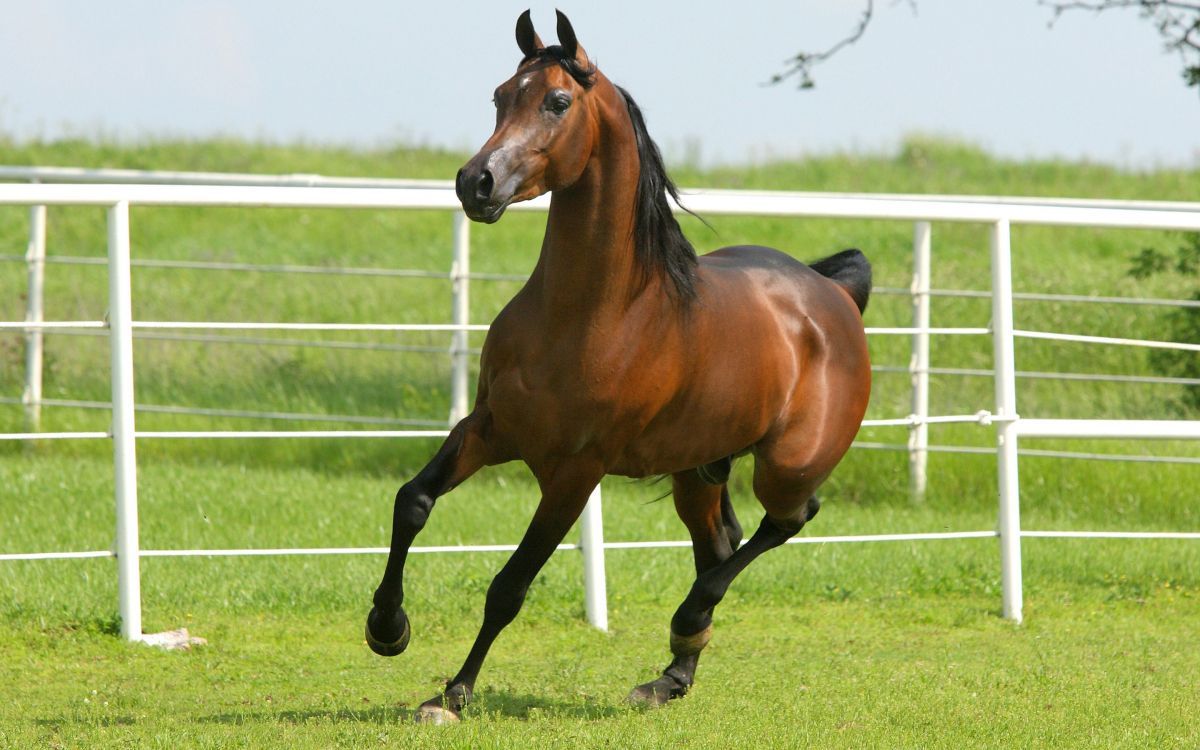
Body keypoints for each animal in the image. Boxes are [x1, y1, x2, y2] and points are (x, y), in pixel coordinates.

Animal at [364, 11, 873, 724]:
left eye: (557, 101)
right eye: (500, 95)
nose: (476, 183)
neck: (589, 315)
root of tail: (834, 294)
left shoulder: (576, 472)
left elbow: (509, 586)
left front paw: (454, 694)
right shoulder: (489, 428)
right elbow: (411, 501)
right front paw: (388, 628)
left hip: (787, 465)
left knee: (787, 521)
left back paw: (687, 624)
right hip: (698, 469)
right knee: (720, 543)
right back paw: (671, 676)